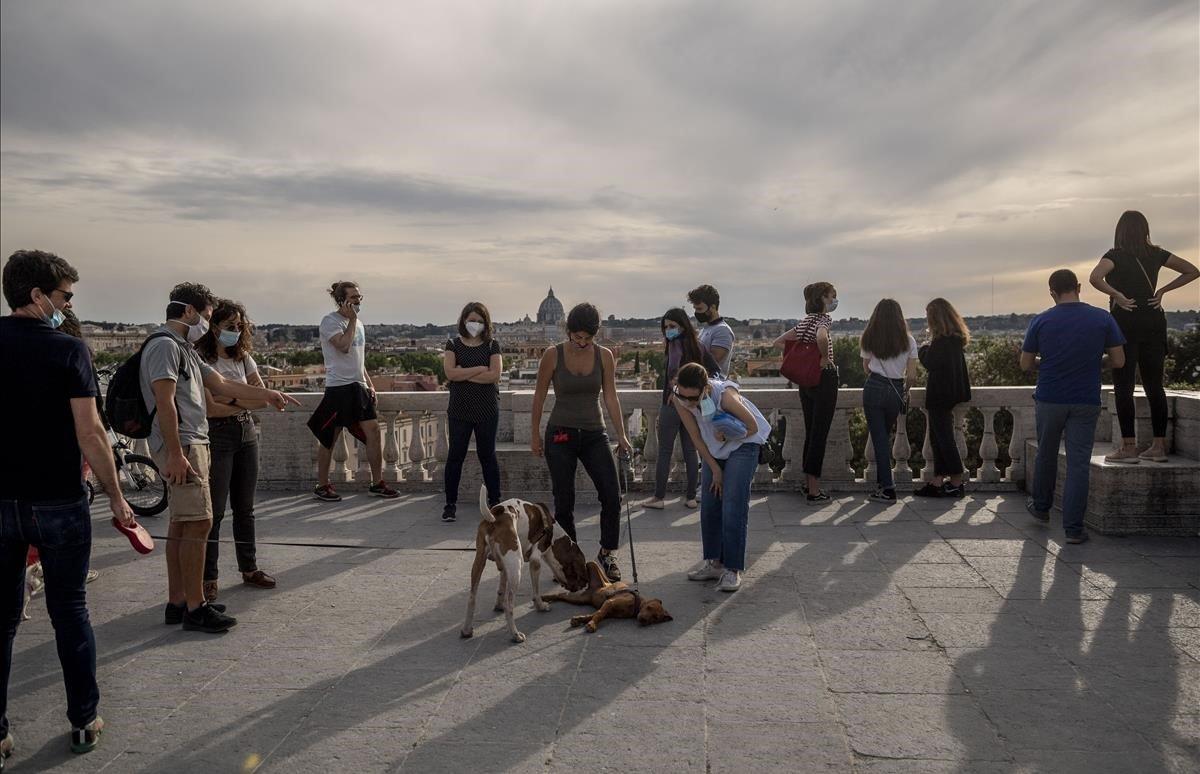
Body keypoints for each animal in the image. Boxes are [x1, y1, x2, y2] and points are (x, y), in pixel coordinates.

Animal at [460, 487, 588, 643]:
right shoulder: (535, 560)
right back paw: (515, 634)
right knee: (509, 605)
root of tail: (495, 516)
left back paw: (466, 630)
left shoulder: (504, 566)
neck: (554, 537)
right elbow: (536, 591)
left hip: (480, 562)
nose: (584, 586)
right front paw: (540, 606)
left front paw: (498, 605)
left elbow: (501, 587)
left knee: (472, 597)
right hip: (517, 567)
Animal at [547, 559, 676, 628]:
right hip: (591, 570)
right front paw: (592, 624)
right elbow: (599, 614)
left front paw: (581, 619)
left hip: (580, 598)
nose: (643, 620)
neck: (636, 604)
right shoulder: (609, 602)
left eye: (655, 618)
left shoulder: (608, 610)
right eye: (648, 607)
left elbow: (595, 614)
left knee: (562, 595)